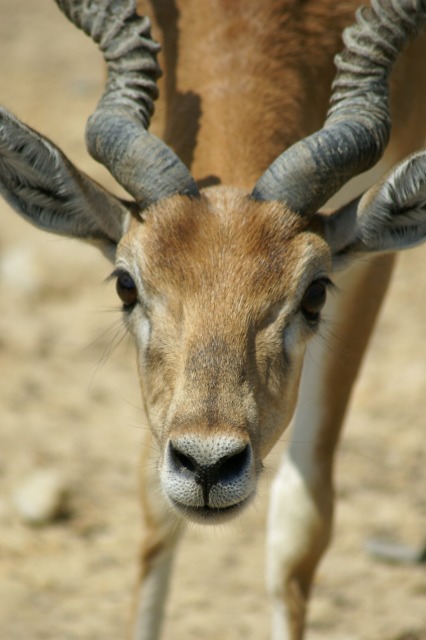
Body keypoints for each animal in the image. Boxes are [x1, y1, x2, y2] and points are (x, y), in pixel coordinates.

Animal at [0, 0, 426, 636]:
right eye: (126, 283)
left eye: (315, 293)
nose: (207, 467)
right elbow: (155, 510)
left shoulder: (372, 258)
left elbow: (299, 527)